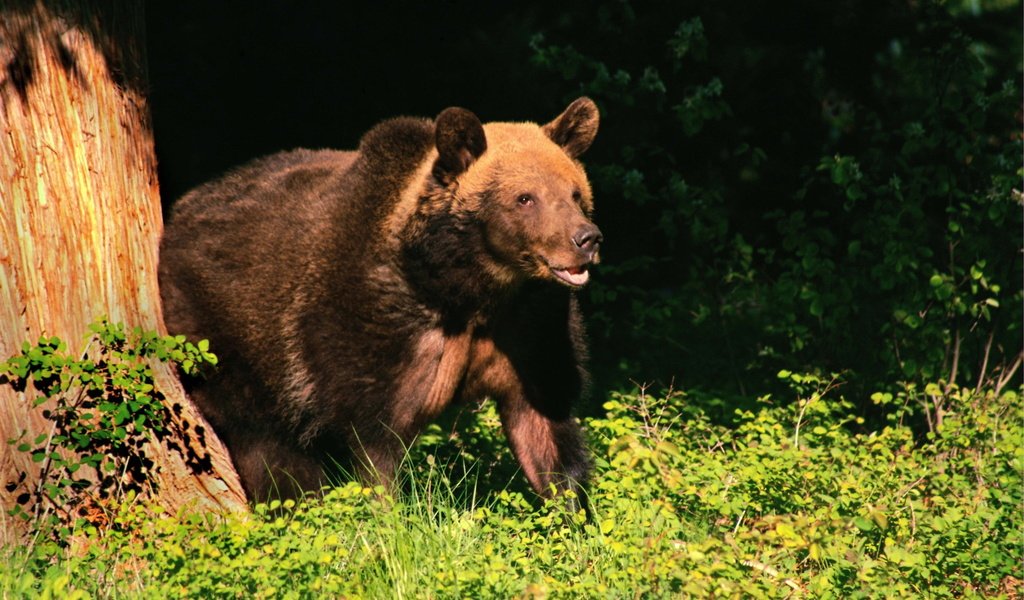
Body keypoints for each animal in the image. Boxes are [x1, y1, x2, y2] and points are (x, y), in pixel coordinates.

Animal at [158, 96, 598, 503]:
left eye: (576, 193)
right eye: (525, 198)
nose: (586, 238)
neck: (467, 287)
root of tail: (179, 213)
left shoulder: (531, 332)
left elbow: (546, 433)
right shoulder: (372, 329)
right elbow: (375, 446)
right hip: (227, 342)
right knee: (269, 447)